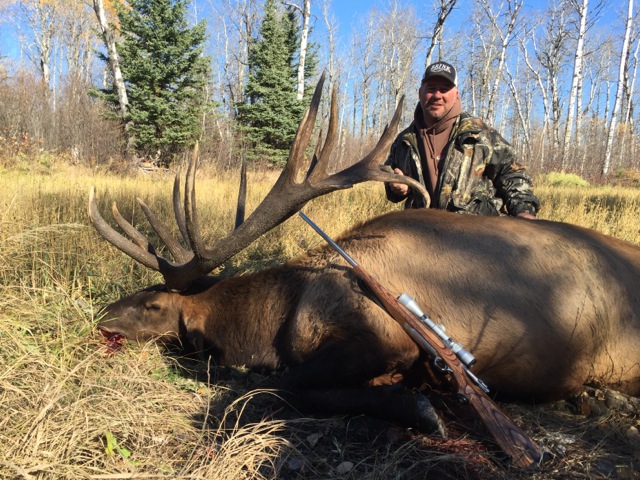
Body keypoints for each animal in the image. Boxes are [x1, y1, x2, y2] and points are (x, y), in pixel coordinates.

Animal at [89, 74, 640, 437]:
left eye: (154, 305)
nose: (101, 319)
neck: (277, 318)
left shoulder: (386, 338)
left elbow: (292, 384)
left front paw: (418, 409)